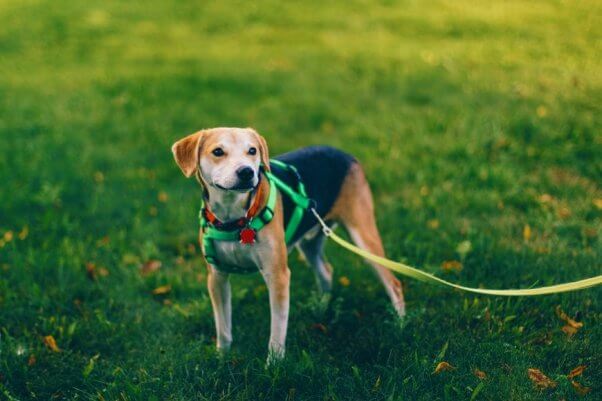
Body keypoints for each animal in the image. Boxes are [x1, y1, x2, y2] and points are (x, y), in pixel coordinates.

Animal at [169, 126, 404, 360]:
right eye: (218, 152)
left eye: (252, 151)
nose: (247, 172)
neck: (236, 218)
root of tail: (344, 154)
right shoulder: (217, 277)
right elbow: (223, 327)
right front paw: (222, 357)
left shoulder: (277, 275)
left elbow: (277, 330)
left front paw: (273, 363)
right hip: (309, 243)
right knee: (326, 270)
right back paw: (322, 307)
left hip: (363, 236)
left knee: (394, 283)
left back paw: (400, 323)